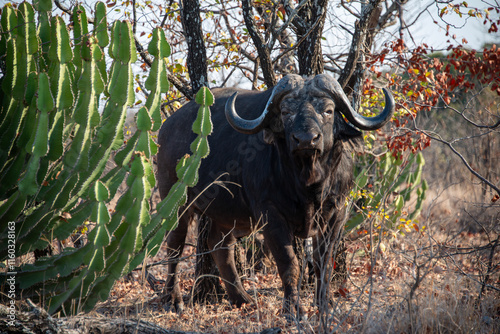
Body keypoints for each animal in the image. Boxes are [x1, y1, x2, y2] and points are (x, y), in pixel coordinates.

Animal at [156, 73, 394, 318]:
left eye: (328, 110)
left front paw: (325, 306)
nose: (306, 139)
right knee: (175, 246)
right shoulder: (270, 215)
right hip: (176, 202)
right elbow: (289, 264)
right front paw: (293, 310)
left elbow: (324, 264)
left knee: (220, 245)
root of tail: (166, 128)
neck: (307, 184)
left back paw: (242, 299)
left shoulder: (337, 213)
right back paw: (174, 300)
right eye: (286, 111)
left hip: (226, 213)